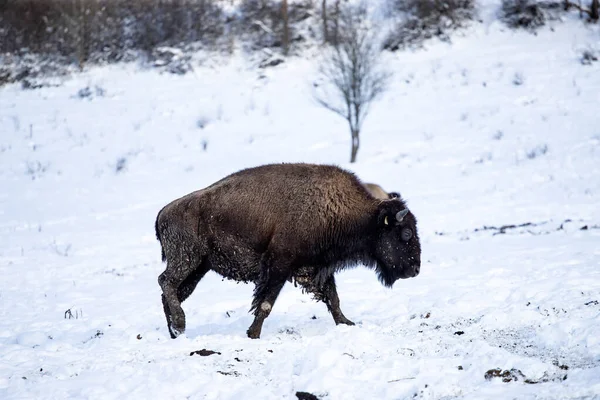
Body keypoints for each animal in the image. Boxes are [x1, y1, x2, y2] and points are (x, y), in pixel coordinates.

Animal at [158, 164, 422, 340]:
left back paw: (175, 333)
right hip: (187, 260)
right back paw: (180, 325)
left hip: (199, 268)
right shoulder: (278, 266)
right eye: (406, 234)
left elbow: (333, 298)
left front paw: (347, 323)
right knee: (166, 283)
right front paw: (253, 334)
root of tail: (163, 213)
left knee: (171, 291)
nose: (416, 268)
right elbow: (266, 303)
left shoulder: (317, 269)